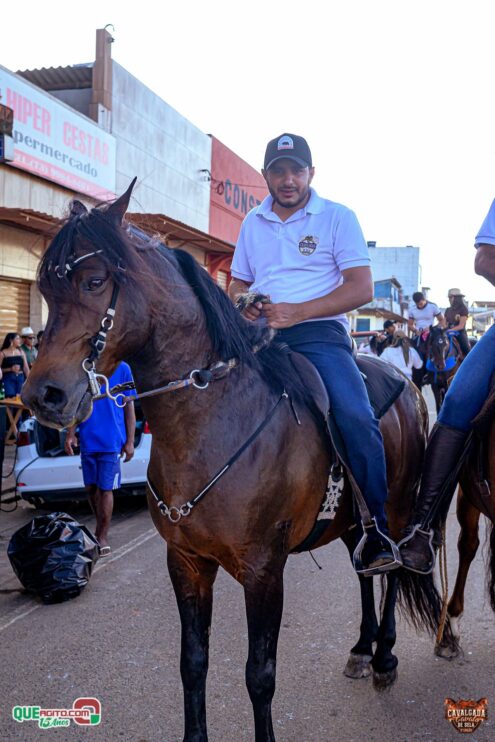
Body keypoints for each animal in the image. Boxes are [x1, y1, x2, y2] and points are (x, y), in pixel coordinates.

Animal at [22, 182, 444, 742]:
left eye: (94, 282)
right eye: (47, 291)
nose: (42, 397)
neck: (211, 422)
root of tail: (406, 385)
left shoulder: (263, 570)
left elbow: (259, 675)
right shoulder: (186, 563)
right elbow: (192, 663)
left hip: (393, 507)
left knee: (391, 570)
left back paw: (385, 657)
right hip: (353, 521)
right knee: (363, 571)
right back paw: (361, 647)